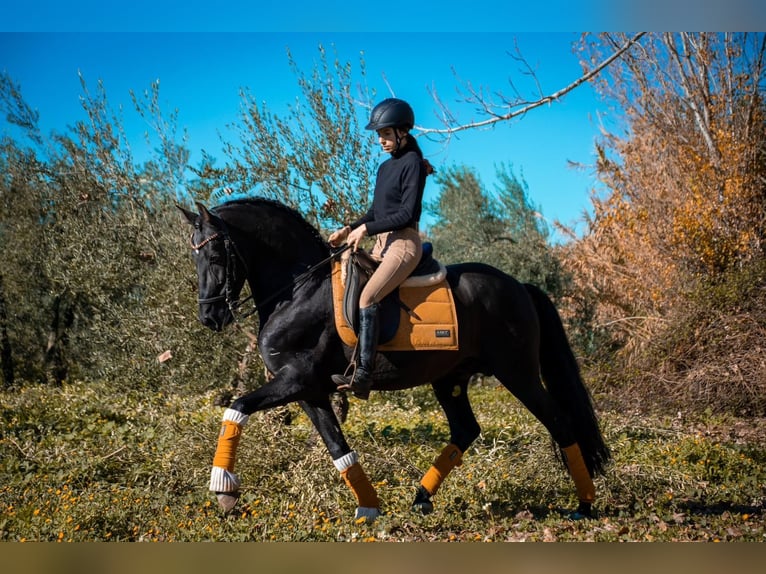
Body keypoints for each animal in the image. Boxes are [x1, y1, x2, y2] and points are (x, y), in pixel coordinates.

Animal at [178, 198, 612, 520]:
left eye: (215, 255)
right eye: (194, 257)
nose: (210, 317)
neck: (299, 290)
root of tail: (519, 286)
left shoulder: (295, 379)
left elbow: (236, 407)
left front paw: (223, 489)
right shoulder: (309, 390)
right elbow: (338, 447)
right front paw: (369, 507)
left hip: (517, 373)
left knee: (559, 422)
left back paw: (585, 505)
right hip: (451, 379)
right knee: (465, 430)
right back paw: (420, 499)